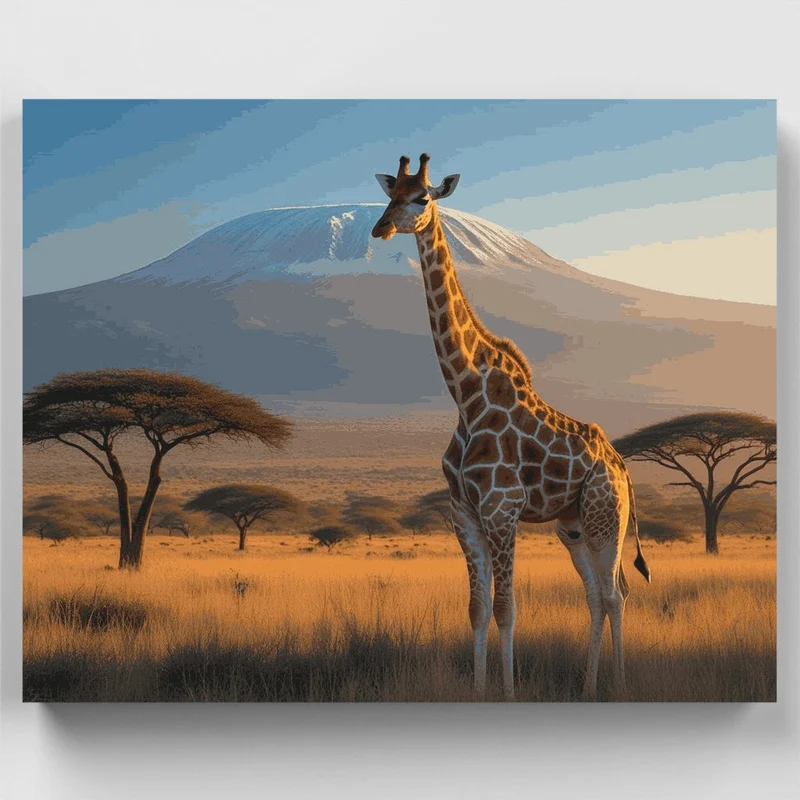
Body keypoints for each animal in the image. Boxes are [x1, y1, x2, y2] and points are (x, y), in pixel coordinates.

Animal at [371, 154, 651, 701]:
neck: (465, 393)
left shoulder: (502, 510)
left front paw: (508, 693)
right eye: (389, 195)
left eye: (422, 198)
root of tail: (622, 466)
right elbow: (477, 610)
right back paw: (588, 688)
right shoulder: (463, 512)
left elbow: (506, 609)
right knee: (595, 596)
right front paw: (481, 690)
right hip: (572, 525)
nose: (380, 229)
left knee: (616, 593)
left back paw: (621, 686)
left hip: (606, 515)